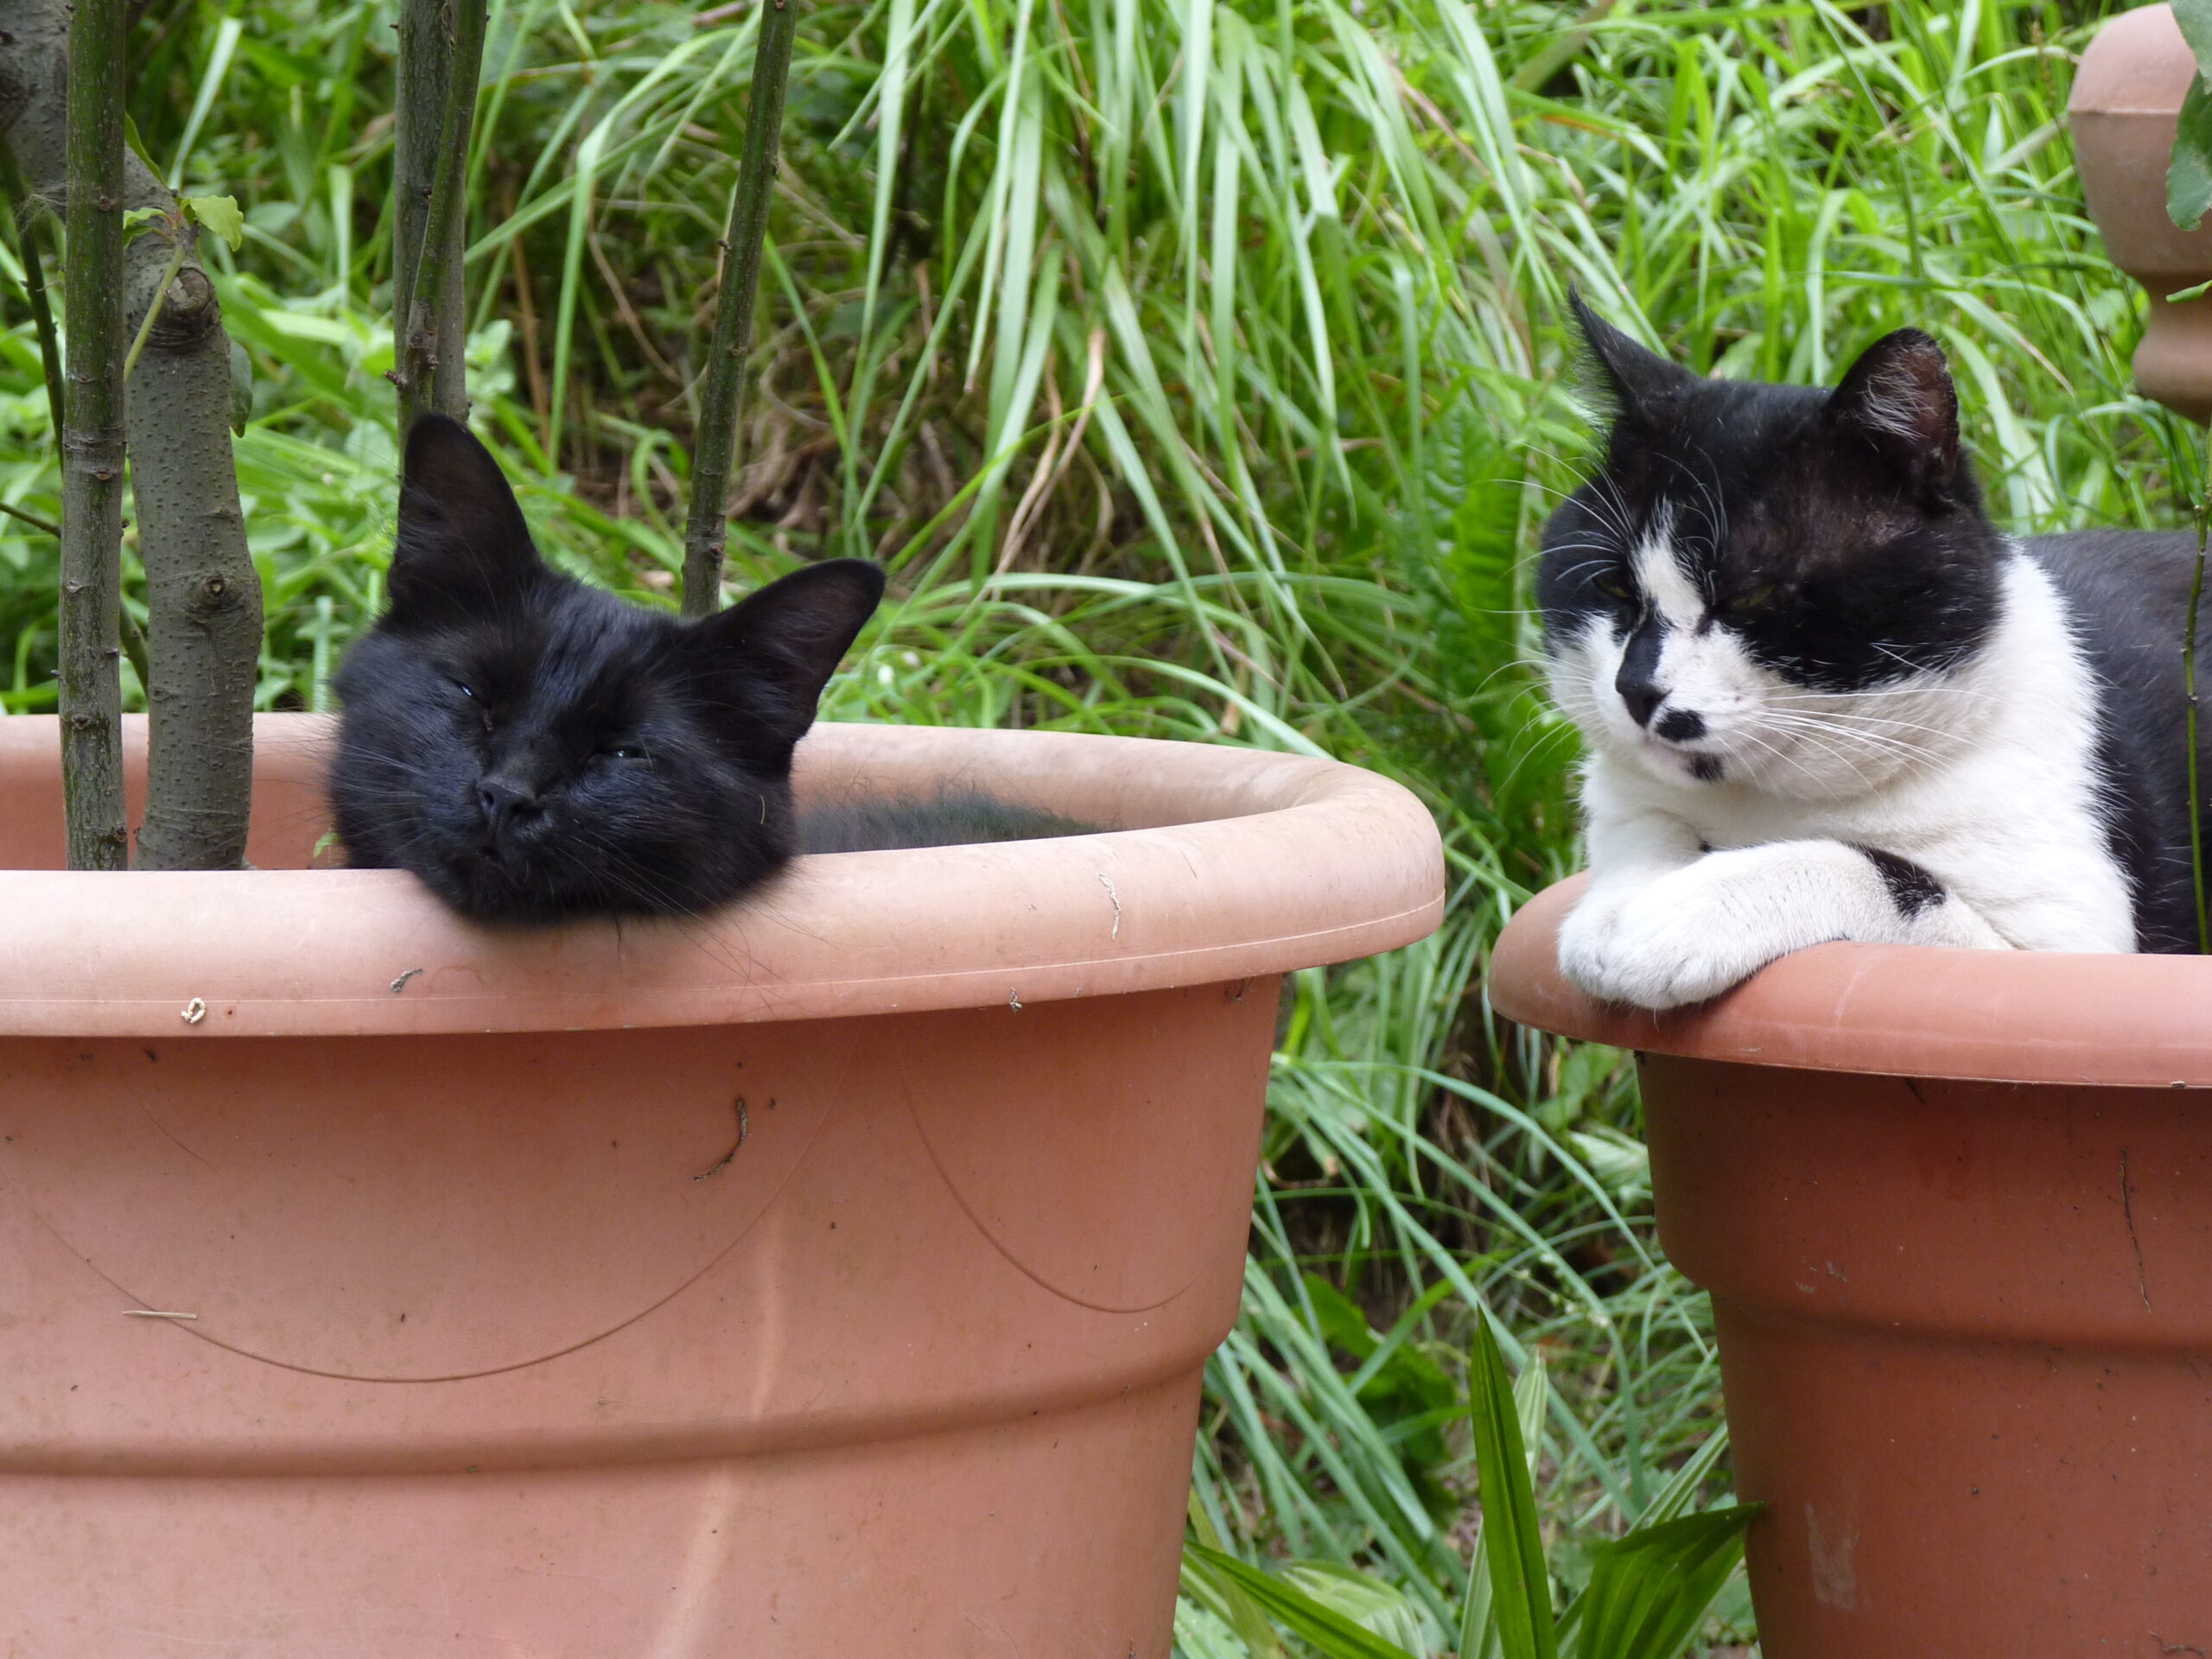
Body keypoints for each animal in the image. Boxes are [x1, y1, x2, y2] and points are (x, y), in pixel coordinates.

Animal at [1539, 302, 2212, 1013]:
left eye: (1754, 595)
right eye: (1613, 587)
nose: (1637, 688)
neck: (1766, 807)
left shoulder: (2062, 956)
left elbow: (1876, 868)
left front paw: (1676, 916)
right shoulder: (1628, 801)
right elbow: (1640, 829)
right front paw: (1611, 911)